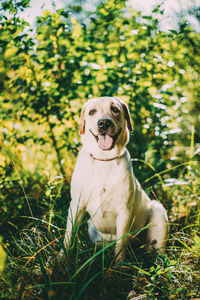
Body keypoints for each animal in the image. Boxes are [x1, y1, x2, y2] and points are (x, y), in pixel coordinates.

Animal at [64, 96, 169, 260]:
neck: (103, 160)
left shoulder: (124, 210)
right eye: (92, 112)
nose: (104, 123)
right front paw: (60, 259)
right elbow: (68, 236)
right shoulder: (76, 205)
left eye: (115, 109)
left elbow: (120, 244)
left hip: (157, 210)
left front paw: (118, 265)